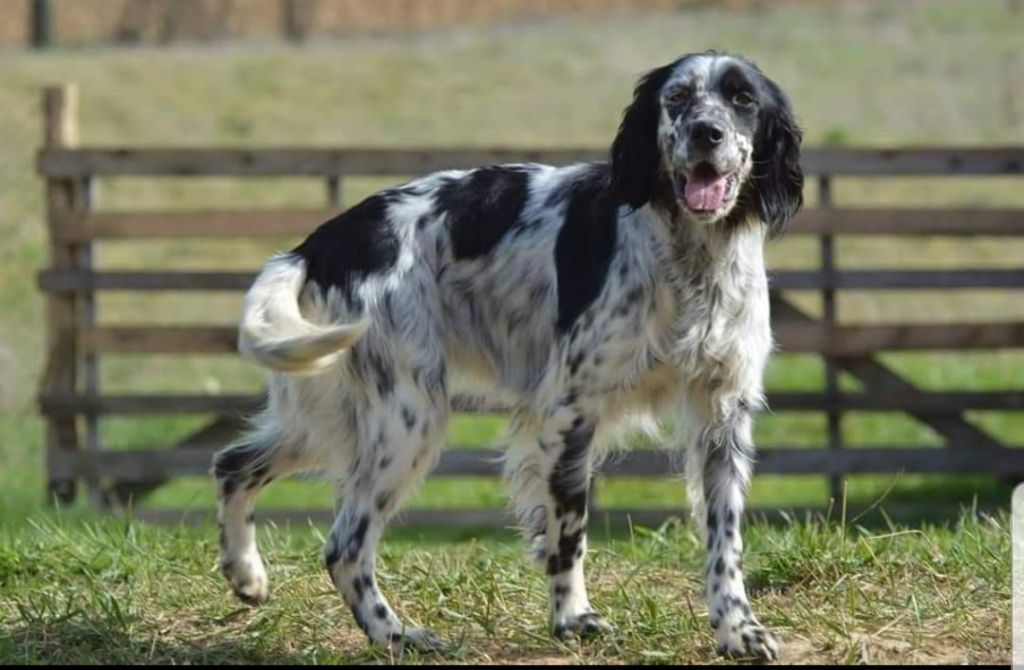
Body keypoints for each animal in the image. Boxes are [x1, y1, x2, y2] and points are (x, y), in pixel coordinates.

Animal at [211, 51, 802, 659]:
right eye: (678, 98)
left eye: (742, 99)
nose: (707, 132)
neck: (690, 256)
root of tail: (321, 244)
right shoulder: (570, 411)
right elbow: (568, 530)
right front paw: (573, 618)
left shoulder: (722, 416)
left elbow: (724, 541)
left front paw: (737, 629)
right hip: (408, 421)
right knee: (344, 546)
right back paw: (397, 635)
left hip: (335, 417)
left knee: (232, 464)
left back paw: (246, 574)